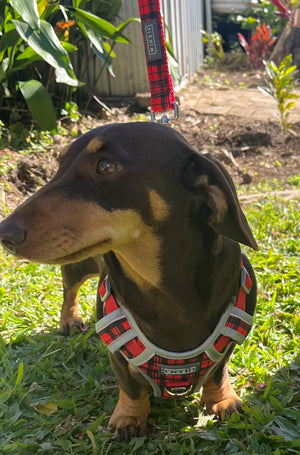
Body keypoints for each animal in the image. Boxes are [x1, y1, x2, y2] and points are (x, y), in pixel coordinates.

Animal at [0, 122, 258, 442]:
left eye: (105, 166)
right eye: (59, 164)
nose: (5, 233)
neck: (167, 289)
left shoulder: (231, 338)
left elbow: (219, 370)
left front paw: (222, 400)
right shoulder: (117, 350)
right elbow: (131, 386)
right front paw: (129, 417)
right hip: (78, 265)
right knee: (69, 289)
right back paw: (69, 320)